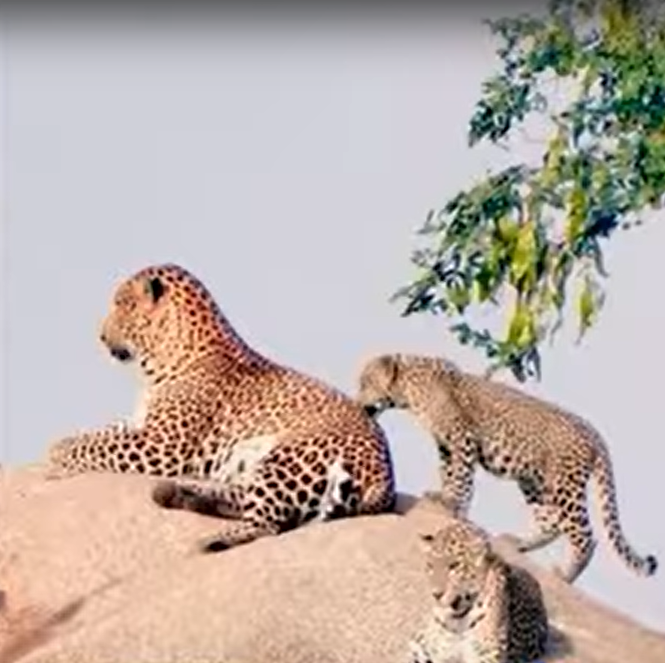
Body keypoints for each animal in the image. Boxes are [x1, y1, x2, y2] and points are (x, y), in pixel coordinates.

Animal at [45, 262, 396, 552]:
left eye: (124, 305)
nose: (101, 336)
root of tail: (386, 478)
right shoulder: (139, 426)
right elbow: (93, 435)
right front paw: (55, 449)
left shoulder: (160, 447)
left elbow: (95, 445)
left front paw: (56, 460)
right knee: (242, 497)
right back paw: (180, 492)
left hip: (287, 457)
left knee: (266, 524)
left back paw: (210, 538)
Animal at [356, 353, 658, 583]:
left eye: (365, 382)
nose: (358, 401)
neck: (409, 389)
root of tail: (595, 434)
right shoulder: (445, 446)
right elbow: (450, 475)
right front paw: (444, 499)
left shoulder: (462, 439)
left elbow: (462, 478)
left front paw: (453, 505)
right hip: (535, 482)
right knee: (551, 522)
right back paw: (518, 543)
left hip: (565, 484)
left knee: (585, 536)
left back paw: (565, 575)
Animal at [408, 518, 549, 663]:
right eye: (430, 566)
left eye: (455, 565)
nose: (436, 594)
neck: (457, 622)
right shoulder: (423, 649)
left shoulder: (487, 656)